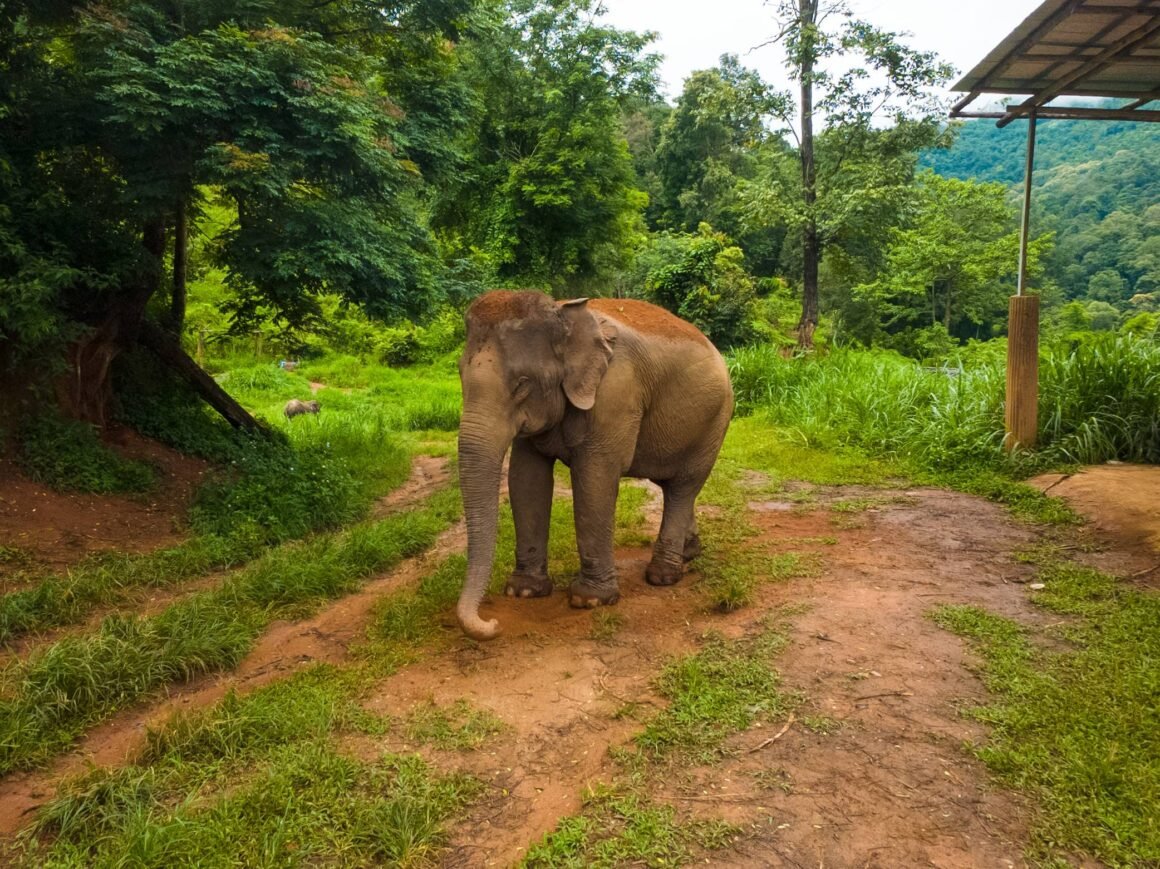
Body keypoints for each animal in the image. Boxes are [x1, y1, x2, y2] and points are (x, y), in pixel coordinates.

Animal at [456, 290, 733, 640]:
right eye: (459, 374)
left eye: (522, 384)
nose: (492, 623)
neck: (563, 314)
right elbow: (526, 478)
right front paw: (524, 592)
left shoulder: (615, 394)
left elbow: (595, 479)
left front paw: (590, 600)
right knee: (674, 487)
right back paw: (689, 553)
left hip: (716, 420)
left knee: (684, 487)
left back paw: (663, 576)